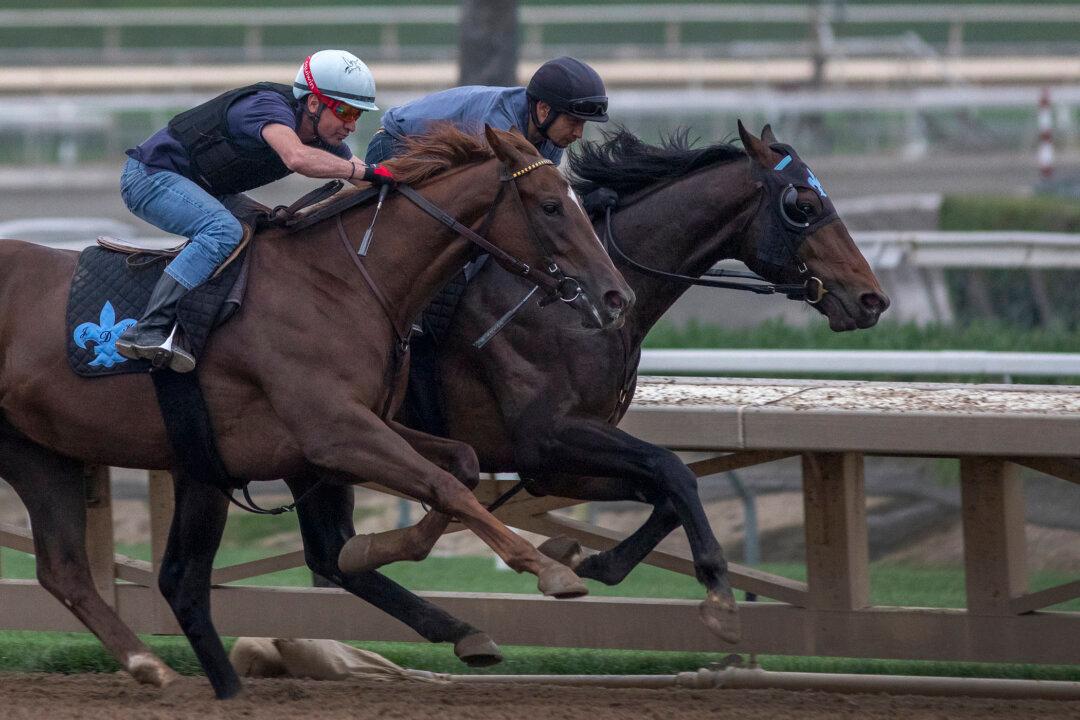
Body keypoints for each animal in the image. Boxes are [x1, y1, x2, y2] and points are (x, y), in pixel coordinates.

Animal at [0, 124, 634, 699]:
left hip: (46, 455)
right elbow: (446, 486)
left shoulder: (358, 428)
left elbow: (460, 465)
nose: (616, 295)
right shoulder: (333, 433)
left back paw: (155, 668)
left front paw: (374, 549)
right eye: (551, 205)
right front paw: (550, 569)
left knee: (71, 571)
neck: (344, 281)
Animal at [334, 122, 889, 644]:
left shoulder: (551, 465)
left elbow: (664, 492)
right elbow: (673, 469)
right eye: (804, 204)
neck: (577, 307)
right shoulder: (547, 435)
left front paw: (584, 558)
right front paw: (718, 594)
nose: (872, 299)